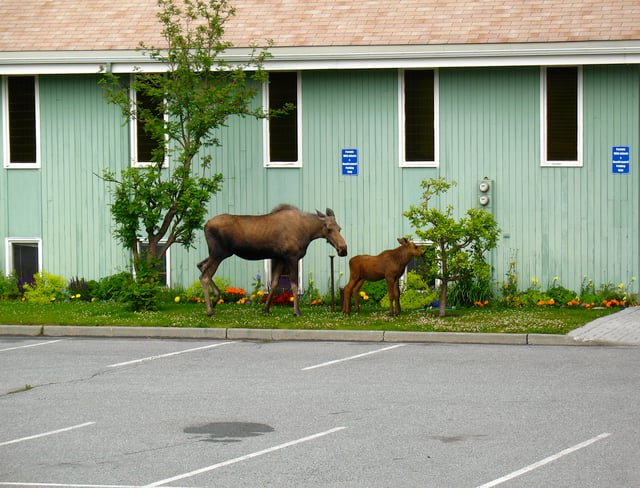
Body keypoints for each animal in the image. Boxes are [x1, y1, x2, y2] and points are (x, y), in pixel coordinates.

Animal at [198, 205, 348, 316]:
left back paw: (215, 300)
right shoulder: (292, 257)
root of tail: (205, 225)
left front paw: (266, 309)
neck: (309, 233)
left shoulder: (280, 258)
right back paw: (210, 310)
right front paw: (296, 311)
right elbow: (294, 285)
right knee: (204, 276)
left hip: (218, 253)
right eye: (328, 229)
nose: (343, 249)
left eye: (340, 228)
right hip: (219, 253)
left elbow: (274, 283)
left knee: (201, 266)